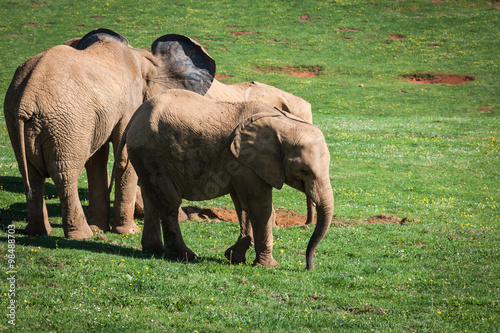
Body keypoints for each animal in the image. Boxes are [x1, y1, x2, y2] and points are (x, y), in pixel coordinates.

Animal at [3, 28, 215, 239]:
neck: (143, 57)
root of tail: (27, 98)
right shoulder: (129, 103)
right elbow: (124, 158)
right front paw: (129, 232)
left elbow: (97, 159)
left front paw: (101, 228)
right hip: (66, 122)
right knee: (64, 174)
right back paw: (83, 235)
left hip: (17, 118)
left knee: (31, 173)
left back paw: (38, 233)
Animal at [116, 89, 334, 270]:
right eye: (304, 171)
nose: (309, 268)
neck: (285, 123)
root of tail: (134, 116)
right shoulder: (245, 161)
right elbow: (259, 206)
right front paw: (268, 266)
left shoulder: (241, 163)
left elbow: (243, 205)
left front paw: (234, 257)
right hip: (151, 151)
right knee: (169, 202)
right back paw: (186, 256)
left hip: (145, 154)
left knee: (151, 197)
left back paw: (154, 250)